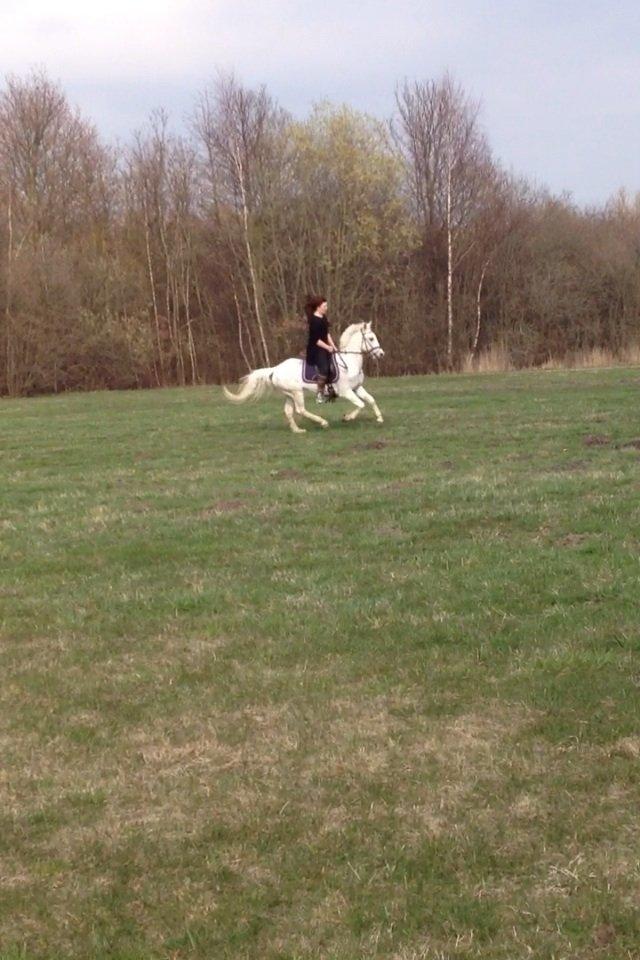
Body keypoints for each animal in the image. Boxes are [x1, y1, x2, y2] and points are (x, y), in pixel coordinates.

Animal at [223, 322, 385, 433]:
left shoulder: (357, 388)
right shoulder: (346, 391)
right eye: (371, 338)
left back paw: (297, 430)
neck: (350, 363)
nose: (381, 354)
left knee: (288, 411)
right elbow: (360, 404)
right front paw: (347, 418)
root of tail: (275, 369)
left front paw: (379, 418)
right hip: (297, 392)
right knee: (301, 410)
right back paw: (323, 422)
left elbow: (370, 400)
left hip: (289, 394)